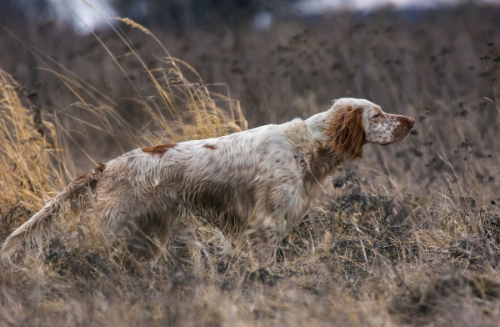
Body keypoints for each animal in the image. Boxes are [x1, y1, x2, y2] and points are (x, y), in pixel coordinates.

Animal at [0, 98, 414, 264]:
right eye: (377, 114)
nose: (411, 121)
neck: (307, 145)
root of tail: (105, 168)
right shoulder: (264, 226)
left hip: (149, 236)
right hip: (124, 232)